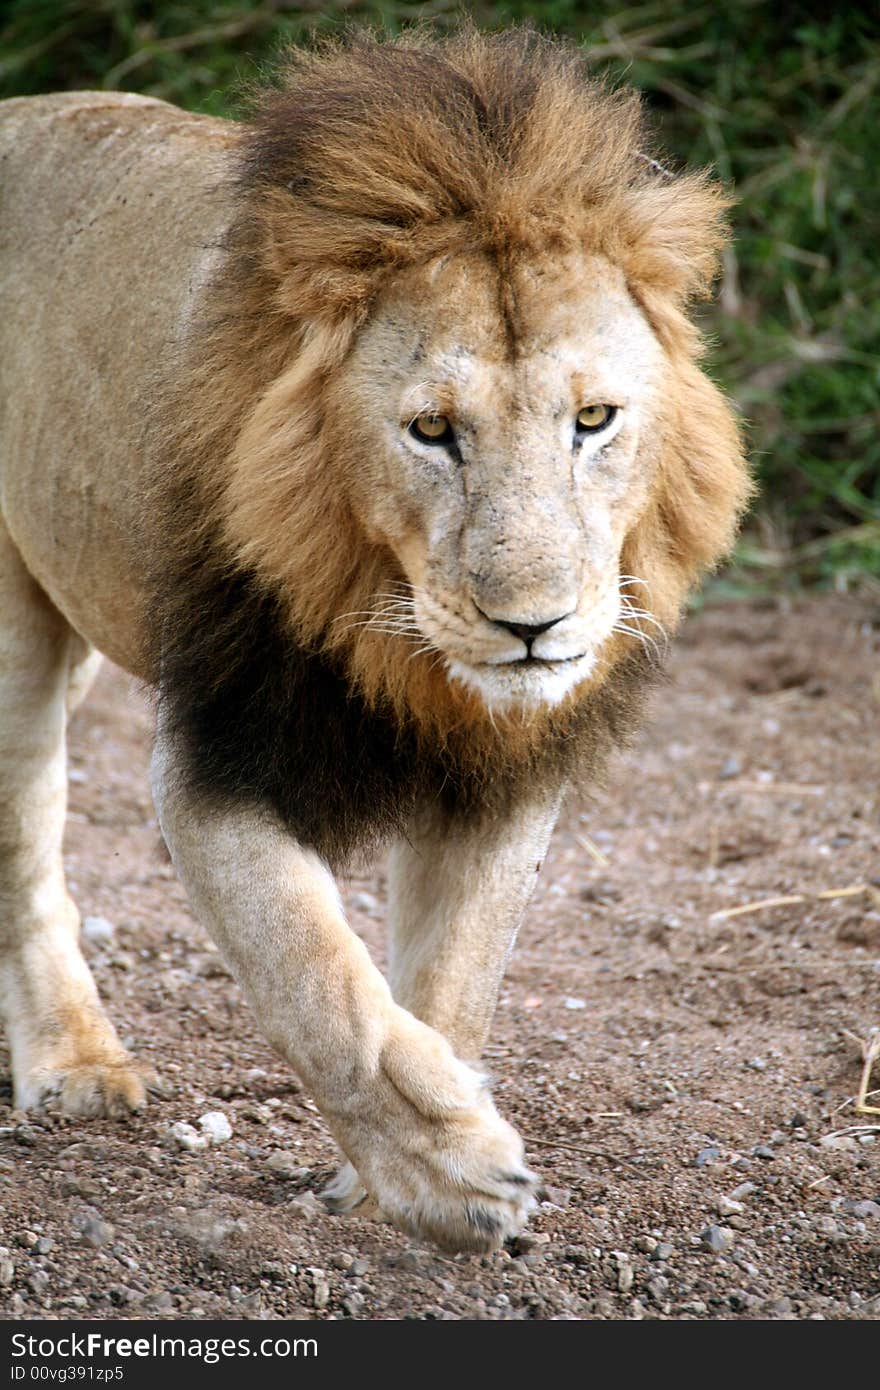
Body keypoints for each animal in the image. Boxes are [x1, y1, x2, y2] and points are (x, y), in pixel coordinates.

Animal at [0, 27, 750, 1256]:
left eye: (594, 421)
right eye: (432, 431)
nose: (533, 623)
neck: (410, 654)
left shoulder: (507, 777)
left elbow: (452, 980)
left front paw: (399, 1163)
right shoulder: (216, 761)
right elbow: (319, 981)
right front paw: (455, 1173)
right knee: (27, 853)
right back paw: (77, 1064)